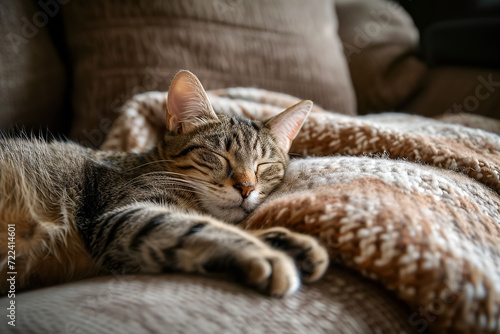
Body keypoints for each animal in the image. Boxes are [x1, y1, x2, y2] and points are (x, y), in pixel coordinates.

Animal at [0, 72, 330, 296]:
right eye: (218, 156)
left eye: (263, 166)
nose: (247, 188)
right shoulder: (121, 216)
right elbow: (195, 227)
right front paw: (266, 253)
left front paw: (284, 241)